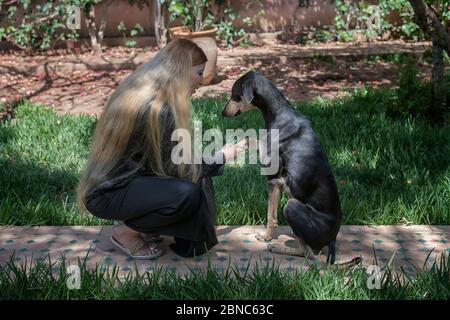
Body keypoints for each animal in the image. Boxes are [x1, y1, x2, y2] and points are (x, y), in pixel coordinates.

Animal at [221, 71, 342, 264]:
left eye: (235, 95)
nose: (222, 112)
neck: (279, 112)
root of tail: (332, 240)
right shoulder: (279, 182)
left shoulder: (272, 178)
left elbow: (270, 216)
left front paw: (266, 237)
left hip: (291, 207)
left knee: (307, 253)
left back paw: (279, 247)